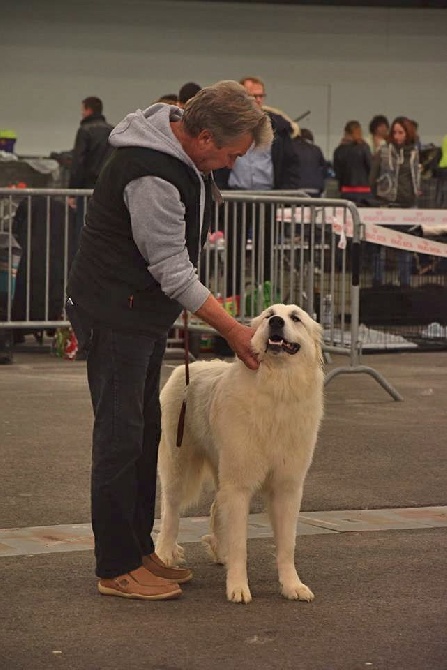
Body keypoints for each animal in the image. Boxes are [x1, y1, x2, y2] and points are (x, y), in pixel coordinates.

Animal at [156, 304, 324, 604]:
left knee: (215, 507)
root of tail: (188, 368)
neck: (278, 387)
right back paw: (164, 555)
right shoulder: (239, 486)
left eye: (295, 318)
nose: (276, 322)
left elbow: (287, 546)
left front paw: (292, 586)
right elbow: (240, 545)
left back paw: (218, 551)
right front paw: (238, 587)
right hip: (179, 465)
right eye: (269, 314)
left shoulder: (287, 488)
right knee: (171, 512)